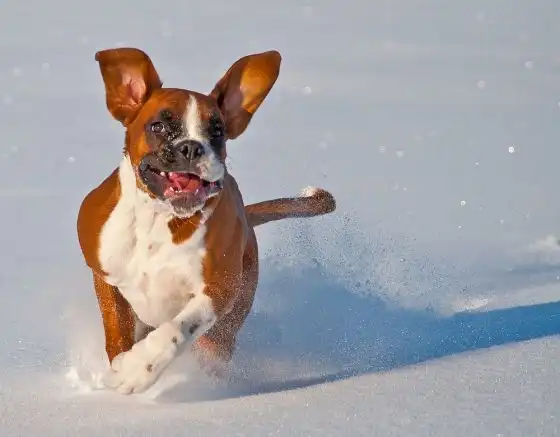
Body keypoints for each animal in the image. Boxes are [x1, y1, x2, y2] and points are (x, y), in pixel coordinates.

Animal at [77, 47, 336, 394]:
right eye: (158, 126)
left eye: (218, 131)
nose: (191, 147)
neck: (159, 221)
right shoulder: (106, 277)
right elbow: (116, 331)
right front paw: (121, 366)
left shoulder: (220, 289)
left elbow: (178, 329)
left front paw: (138, 369)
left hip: (226, 326)